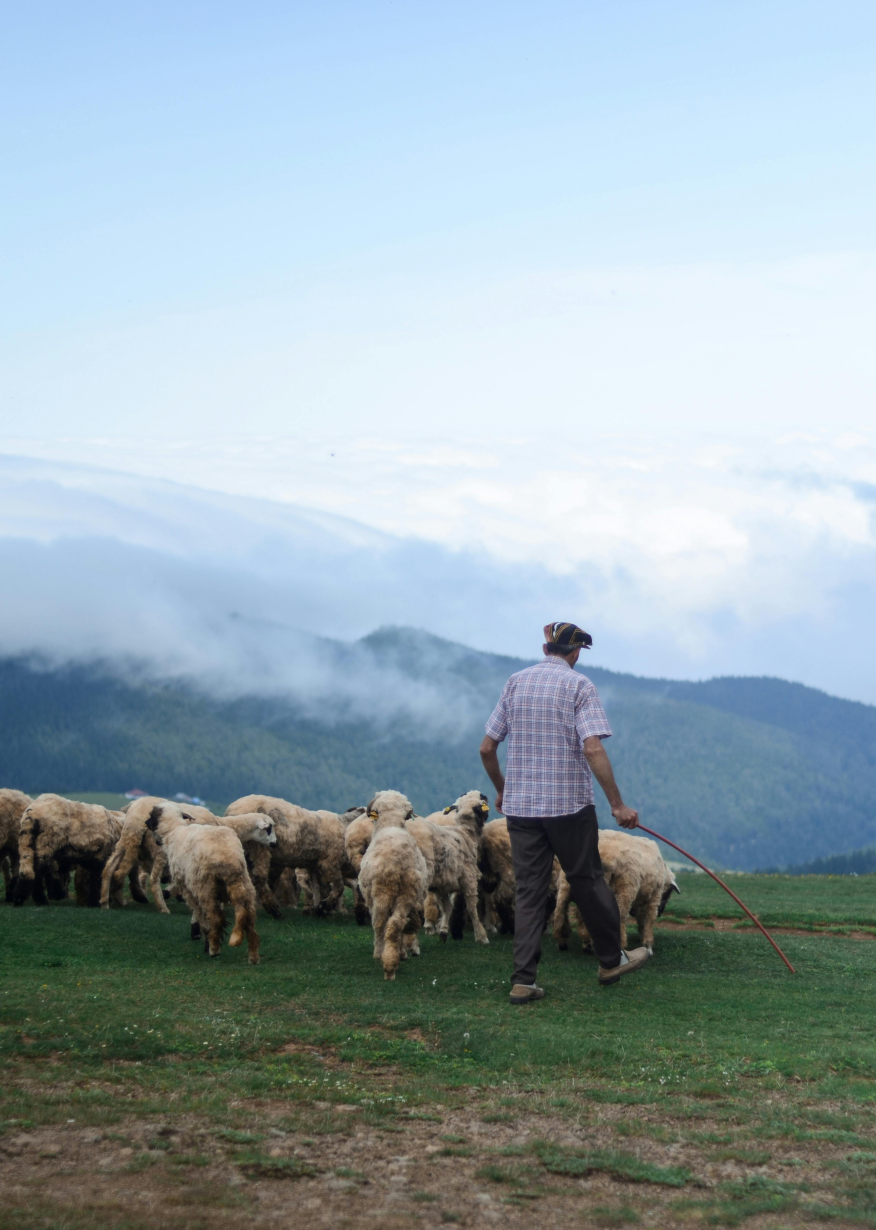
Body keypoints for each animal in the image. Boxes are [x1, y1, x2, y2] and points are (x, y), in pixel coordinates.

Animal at [145, 806, 271, 959]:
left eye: (152, 817)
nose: (145, 823)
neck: (174, 831)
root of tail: (229, 858)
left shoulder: (187, 887)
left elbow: (200, 915)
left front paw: (204, 938)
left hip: (205, 887)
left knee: (216, 918)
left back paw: (214, 950)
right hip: (244, 885)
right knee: (250, 922)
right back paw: (253, 956)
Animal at [226, 792, 344, 920]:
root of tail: (231, 810)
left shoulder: (315, 865)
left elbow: (318, 887)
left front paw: (318, 909)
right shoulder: (330, 861)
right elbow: (339, 887)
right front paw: (324, 906)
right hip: (259, 848)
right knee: (260, 880)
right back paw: (273, 909)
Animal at [354, 792, 425, 984]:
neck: (391, 825)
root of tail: (396, 861)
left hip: (380, 892)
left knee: (379, 922)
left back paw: (381, 955)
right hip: (408, 892)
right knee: (396, 923)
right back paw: (392, 962)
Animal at [406, 792, 489, 944]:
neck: (466, 832)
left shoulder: (441, 884)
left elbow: (446, 906)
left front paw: (443, 930)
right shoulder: (469, 879)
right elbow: (472, 907)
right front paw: (481, 936)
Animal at [551, 831, 679, 954]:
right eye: (668, 893)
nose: (661, 913)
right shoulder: (654, 896)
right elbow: (648, 919)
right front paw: (648, 945)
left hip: (566, 884)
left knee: (561, 911)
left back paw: (567, 942)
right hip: (625, 888)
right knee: (619, 915)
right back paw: (618, 945)